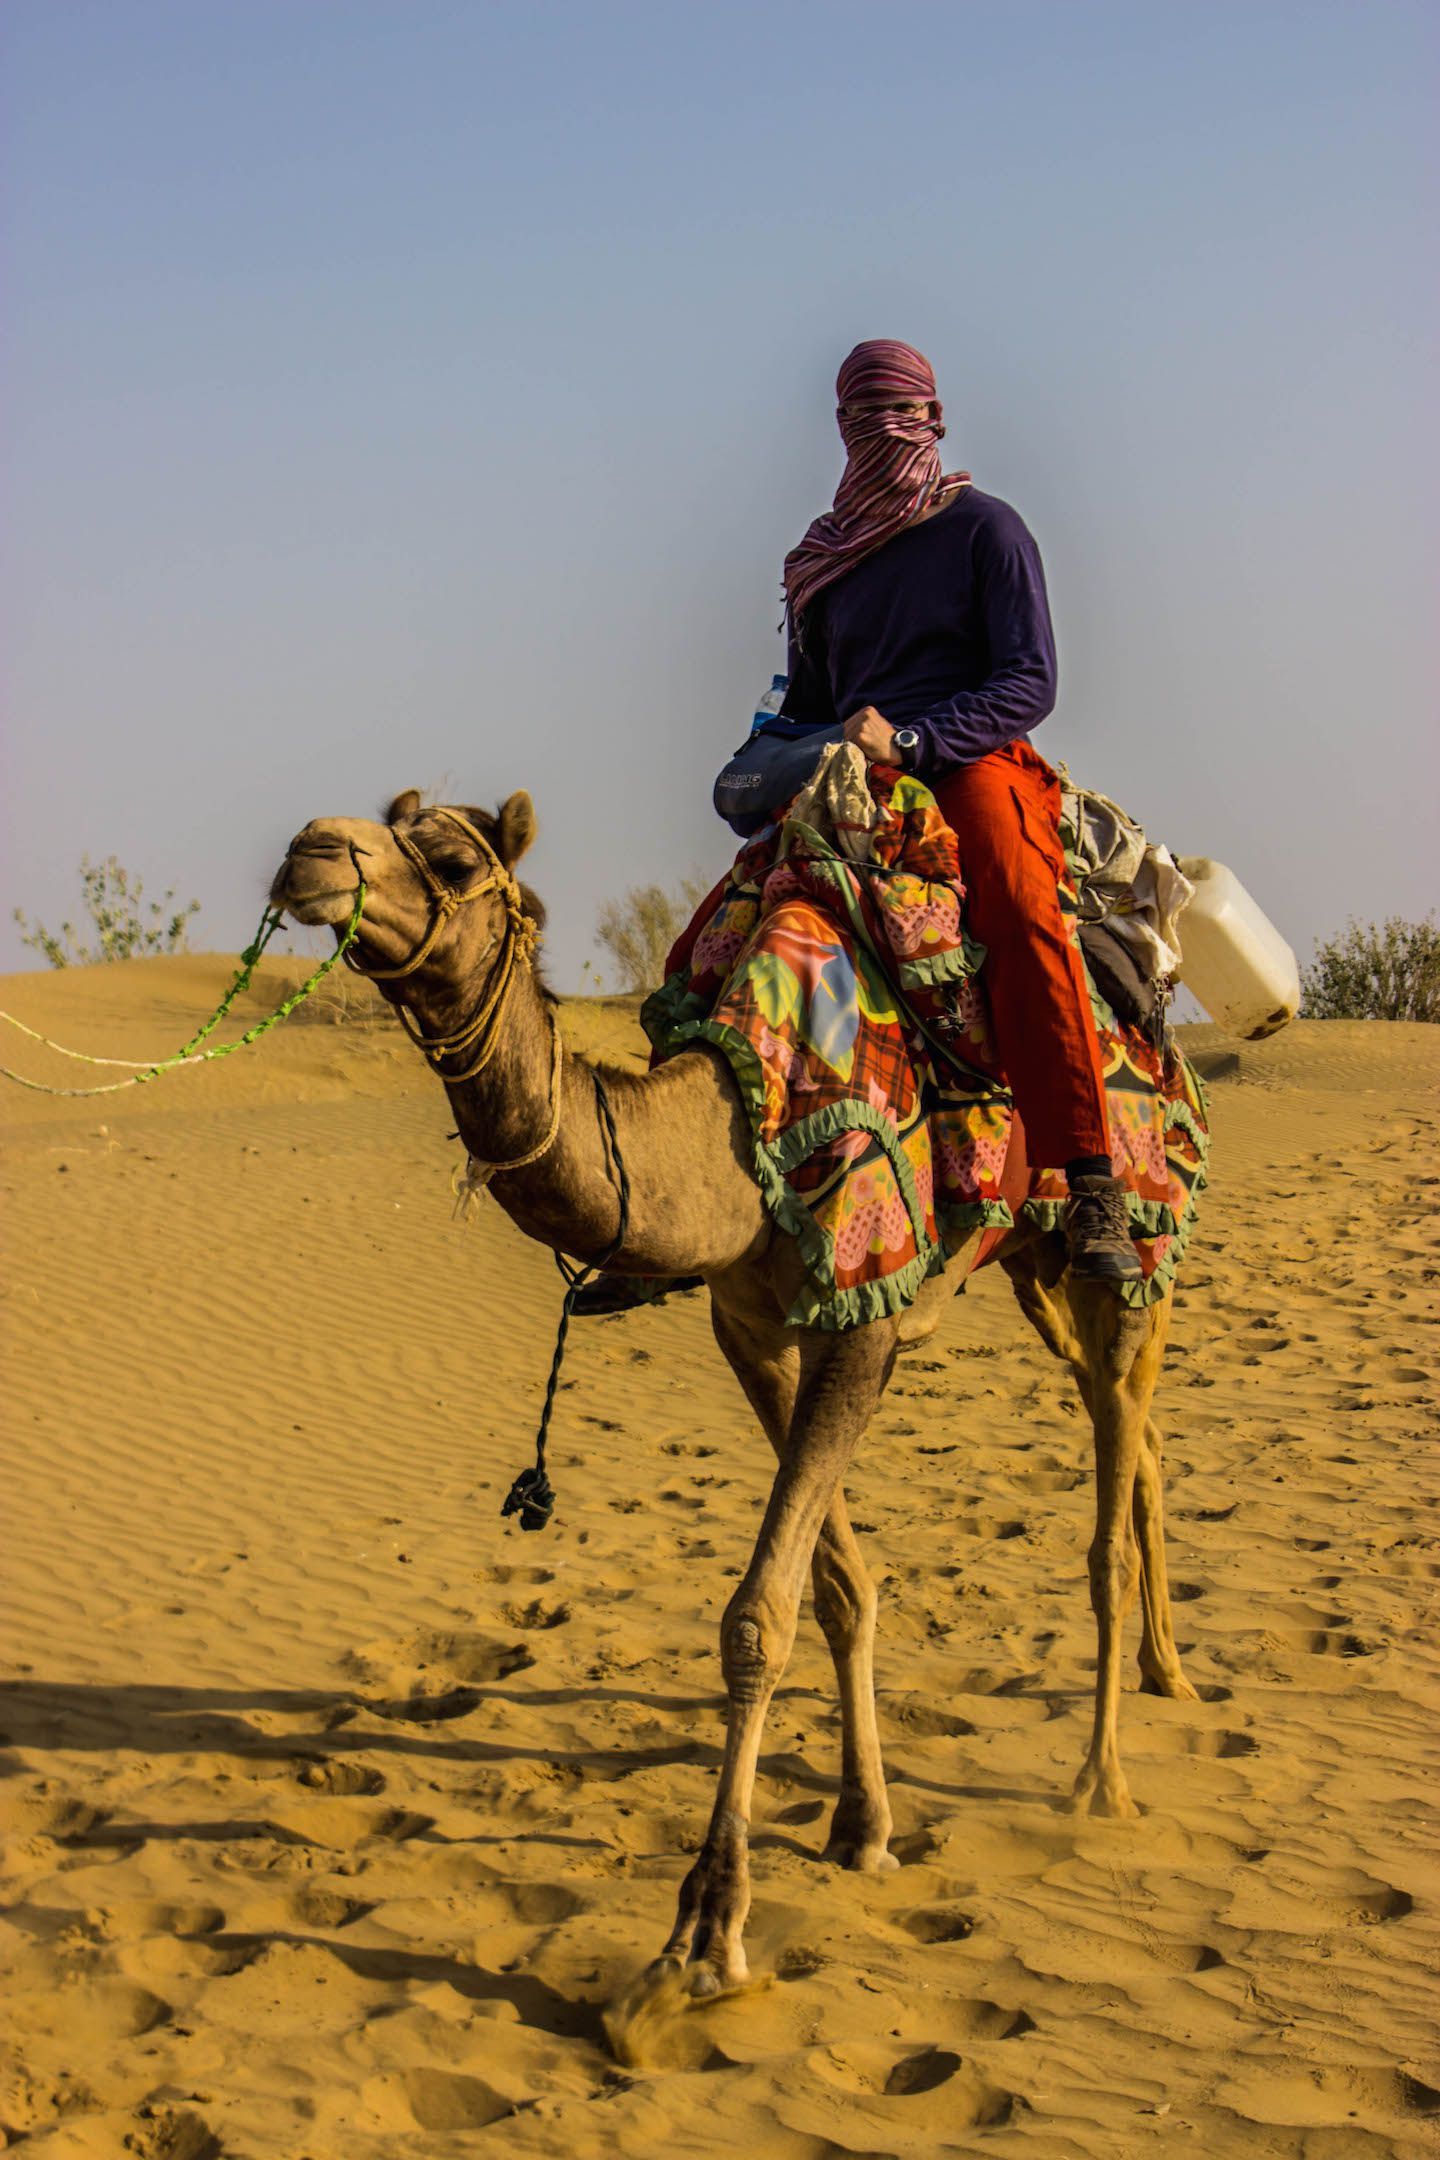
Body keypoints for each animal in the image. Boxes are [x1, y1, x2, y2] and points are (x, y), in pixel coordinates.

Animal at [271, 788, 1198, 2004]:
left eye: (455, 862)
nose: (309, 852)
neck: (736, 1129)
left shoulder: (867, 1309)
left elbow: (759, 1615)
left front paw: (702, 1936)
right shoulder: (751, 1330)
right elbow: (839, 1586)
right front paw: (861, 1824)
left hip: (1132, 1233)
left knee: (1112, 1494)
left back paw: (1101, 1778)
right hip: (1035, 1270)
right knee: (1135, 1435)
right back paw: (1167, 1672)